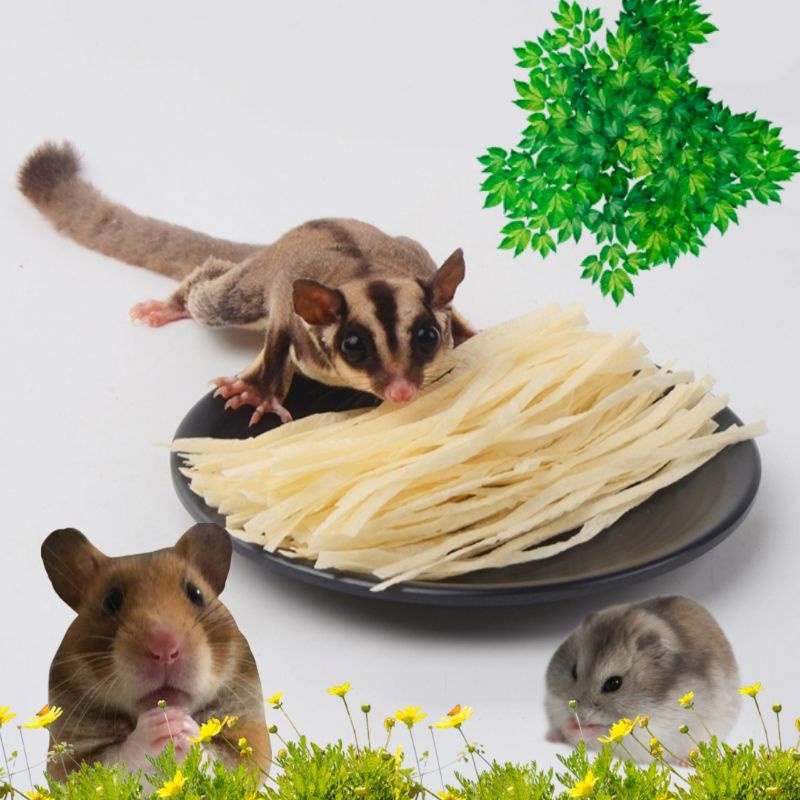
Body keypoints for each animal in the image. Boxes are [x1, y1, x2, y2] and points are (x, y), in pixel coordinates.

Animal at [18, 141, 475, 426]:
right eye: (354, 346)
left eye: (428, 338)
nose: (401, 392)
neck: (366, 274)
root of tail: (287, 237)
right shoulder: (288, 314)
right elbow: (276, 342)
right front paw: (257, 394)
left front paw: (471, 339)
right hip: (250, 286)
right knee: (214, 296)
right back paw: (172, 305)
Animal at [41, 523, 270, 779]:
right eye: (110, 601)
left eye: (196, 594)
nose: (165, 649)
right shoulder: (68, 758)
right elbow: (116, 759)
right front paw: (161, 722)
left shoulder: (250, 740)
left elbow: (222, 759)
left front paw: (180, 723)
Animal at [545, 596, 740, 761]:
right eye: (573, 671)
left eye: (613, 684)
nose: (580, 716)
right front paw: (563, 729)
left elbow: (600, 730)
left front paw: (574, 729)